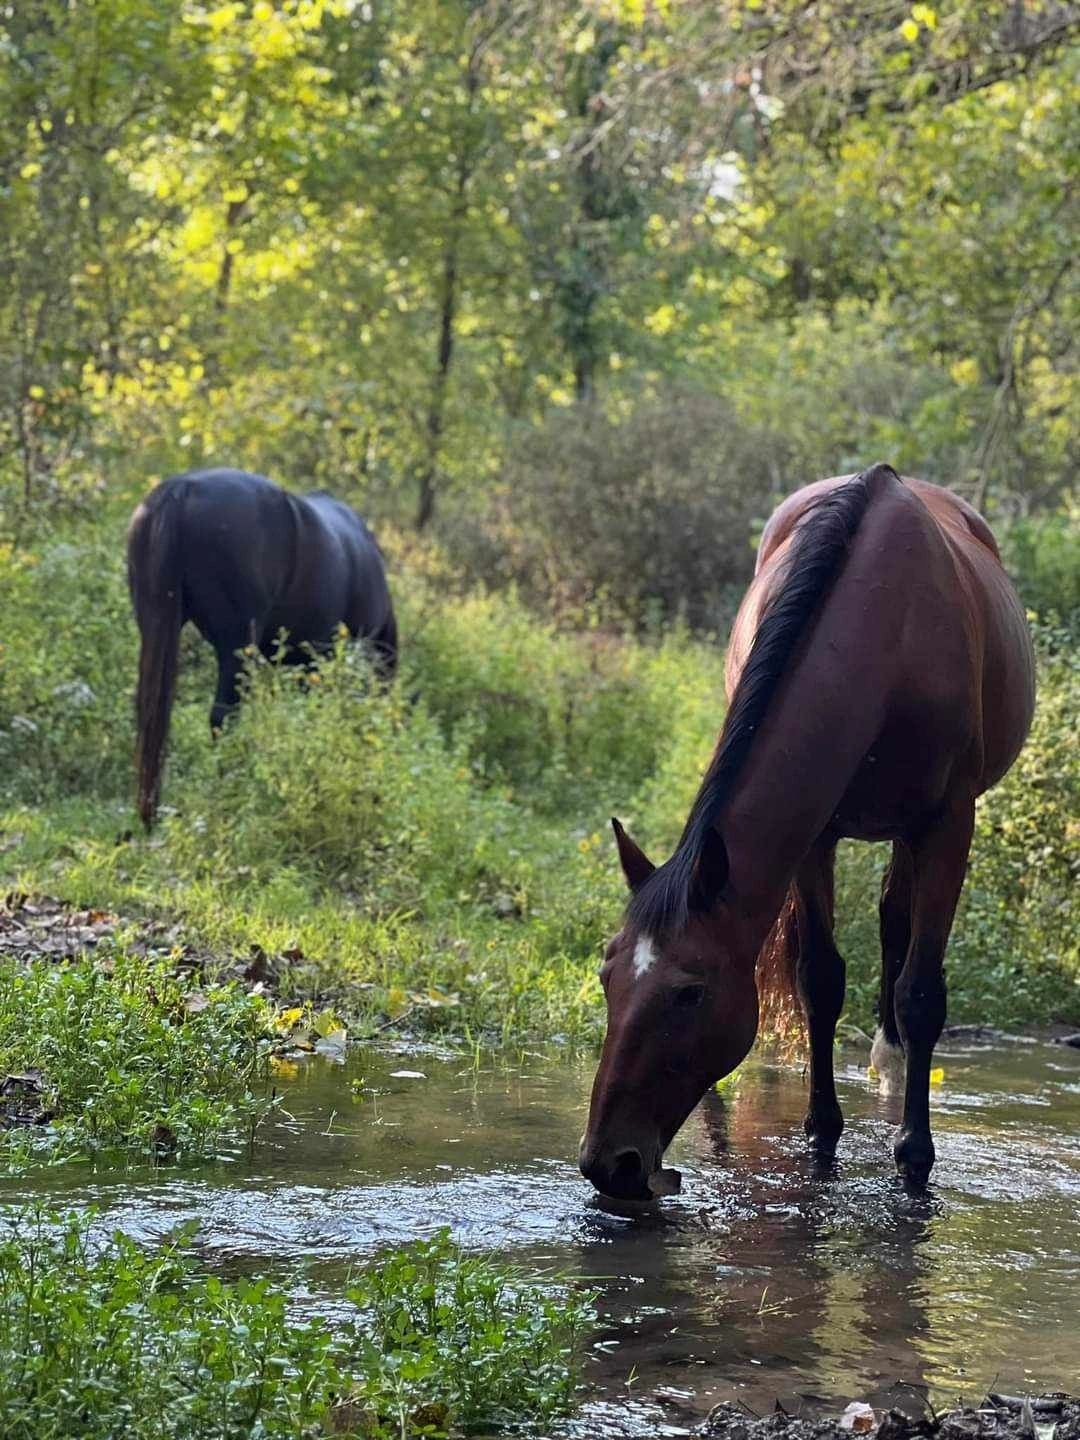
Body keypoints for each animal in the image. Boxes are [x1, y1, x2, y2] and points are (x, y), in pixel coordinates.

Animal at [580, 463, 1035, 1198]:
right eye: (607, 975)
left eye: (689, 993)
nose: (608, 1164)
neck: (888, 630)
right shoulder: (815, 833)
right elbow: (820, 978)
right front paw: (821, 1132)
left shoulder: (947, 825)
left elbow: (922, 991)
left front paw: (914, 1154)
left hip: (912, 831)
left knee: (897, 932)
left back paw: (893, 1067)